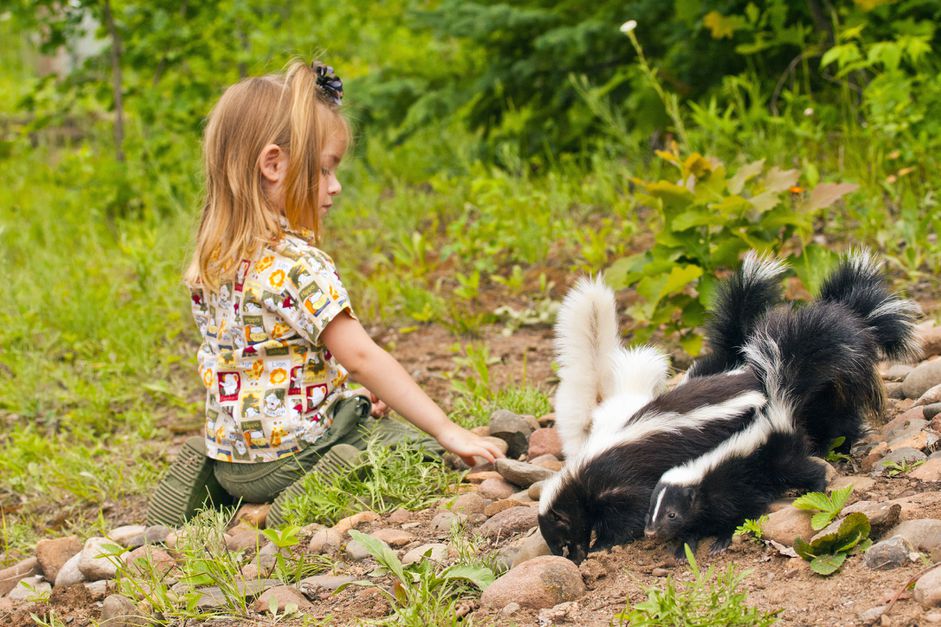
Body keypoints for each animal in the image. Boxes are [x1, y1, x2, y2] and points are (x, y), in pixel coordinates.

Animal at [644, 250, 920, 556]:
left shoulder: (735, 486)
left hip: (783, 457)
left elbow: (742, 512)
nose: (650, 531)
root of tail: (778, 401)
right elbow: (701, 522)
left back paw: (816, 487)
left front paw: (721, 540)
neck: (701, 473)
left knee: (807, 468)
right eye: (651, 512)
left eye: (671, 514)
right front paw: (686, 546)